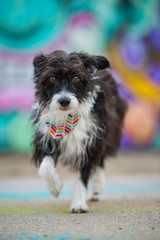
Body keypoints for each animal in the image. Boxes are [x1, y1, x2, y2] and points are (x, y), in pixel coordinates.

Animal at [31, 50, 127, 212]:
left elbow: (84, 176)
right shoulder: (47, 135)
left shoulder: (92, 140)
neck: (68, 117)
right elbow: (45, 167)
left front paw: (79, 203)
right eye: (52, 78)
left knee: (100, 160)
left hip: (108, 131)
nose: (64, 101)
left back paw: (97, 187)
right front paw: (55, 187)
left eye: (76, 78)